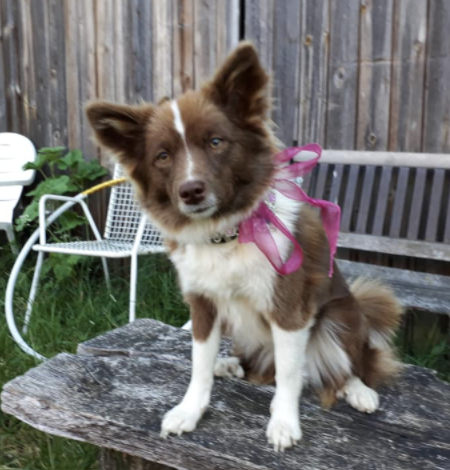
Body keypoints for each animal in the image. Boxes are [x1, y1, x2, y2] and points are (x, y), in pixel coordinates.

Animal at [86, 42, 402, 450]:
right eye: (163, 156)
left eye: (216, 142)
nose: (190, 191)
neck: (227, 234)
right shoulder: (203, 305)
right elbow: (199, 365)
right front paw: (190, 410)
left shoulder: (289, 308)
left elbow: (289, 375)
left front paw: (284, 423)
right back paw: (231, 364)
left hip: (341, 316)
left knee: (347, 364)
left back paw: (359, 389)